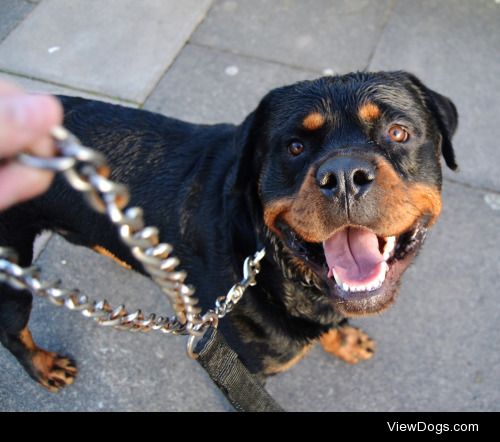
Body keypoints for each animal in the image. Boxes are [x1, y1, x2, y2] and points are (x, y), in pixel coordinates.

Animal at [0, 71, 458, 392]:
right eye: (294, 147)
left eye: (397, 132)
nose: (344, 175)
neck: (272, 265)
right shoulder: (241, 372)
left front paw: (343, 340)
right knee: (13, 331)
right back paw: (44, 367)